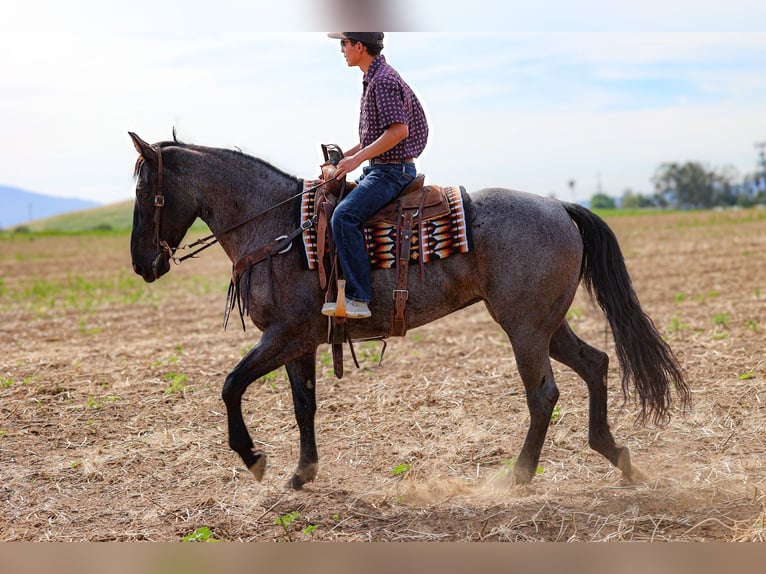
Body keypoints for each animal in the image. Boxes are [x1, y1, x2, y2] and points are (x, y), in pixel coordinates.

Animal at [128, 132, 690, 490]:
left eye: (144, 191)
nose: (141, 264)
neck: (281, 230)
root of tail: (560, 206)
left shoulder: (283, 335)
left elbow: (231, 385)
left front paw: (254, 459)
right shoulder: (299, 341)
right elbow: (303, 404)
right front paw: (302, 474)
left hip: (524, 328)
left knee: (544, 394)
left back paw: (519, 475)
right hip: (547, 323)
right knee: (596, 364)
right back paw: (618, 456)